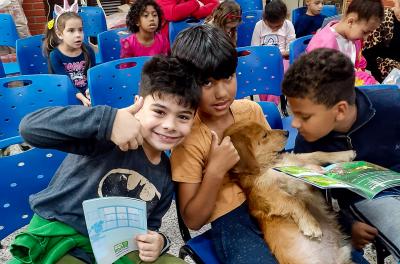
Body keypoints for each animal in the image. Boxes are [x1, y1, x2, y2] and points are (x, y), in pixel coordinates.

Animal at [223, 120, 354, 262]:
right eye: (264, 135)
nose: (287, 132)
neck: (271, 163)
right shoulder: (271, 194)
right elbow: (295, 201)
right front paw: (311, 224)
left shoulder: (298, 161)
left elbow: (317, 153)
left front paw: (346, 154)